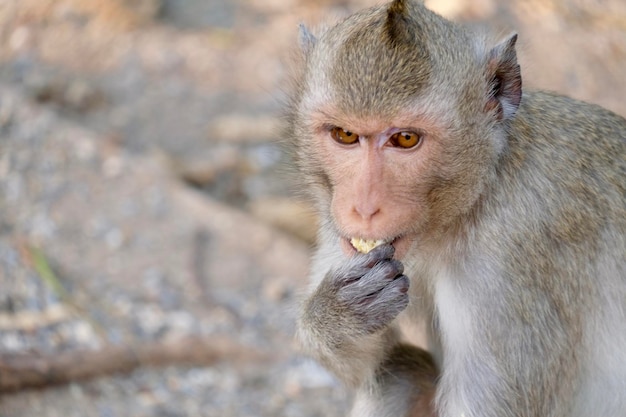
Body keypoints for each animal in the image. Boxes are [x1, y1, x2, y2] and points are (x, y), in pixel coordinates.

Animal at [286, 0, 624, 416]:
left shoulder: (512, 257)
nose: (363, 209)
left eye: (405, 139)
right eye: (345, 135)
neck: (475, 197)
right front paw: (337, 314)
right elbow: (370, 362)